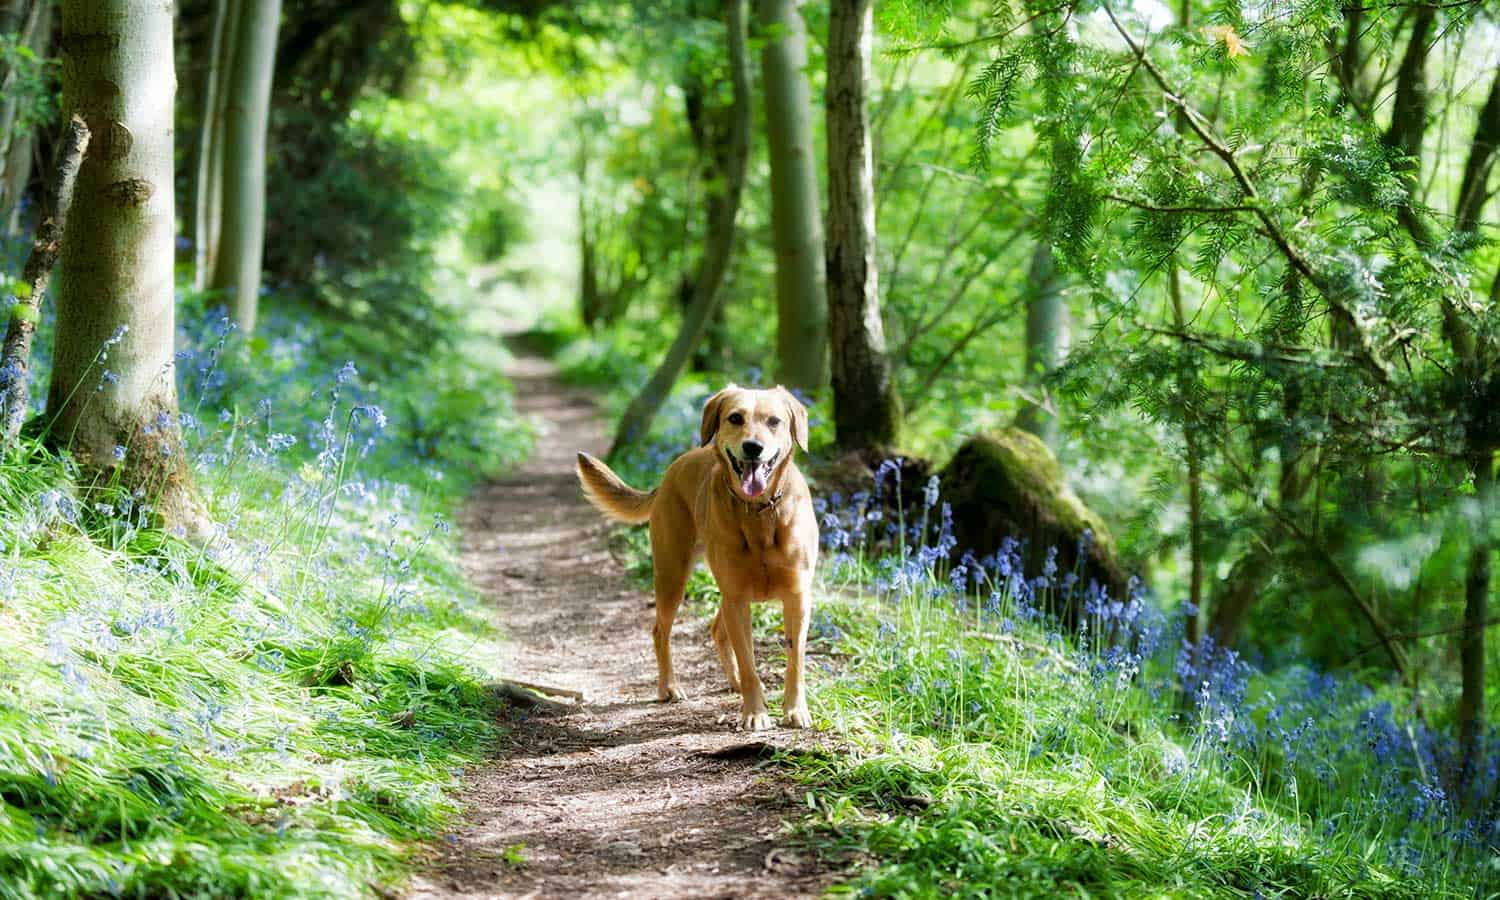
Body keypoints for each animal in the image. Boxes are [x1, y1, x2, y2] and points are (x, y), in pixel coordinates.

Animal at [576, 387, 822, 732]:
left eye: (774, 421)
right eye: (736, 418)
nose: (753, 447)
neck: (758, 512)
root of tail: (670, 472)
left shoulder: (797, 597)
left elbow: (795, 661)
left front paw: (795, 710)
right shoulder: (736, 597)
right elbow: (749, 664)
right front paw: (755, 713)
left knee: (717, 628)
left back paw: (732, 682)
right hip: (672, 575)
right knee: (661, 631)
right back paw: (670, 687)